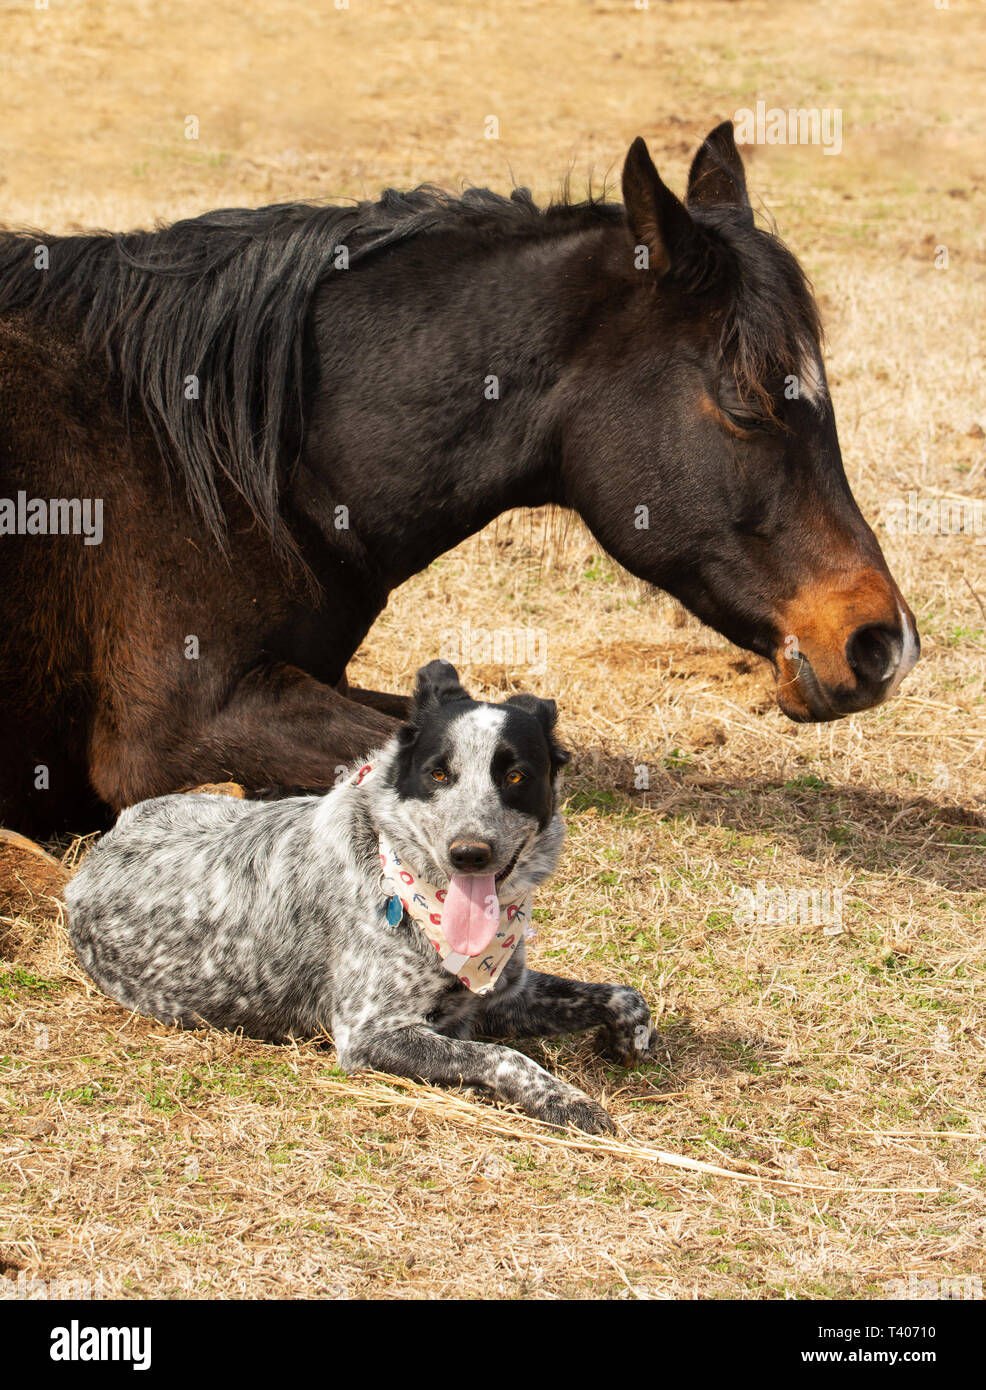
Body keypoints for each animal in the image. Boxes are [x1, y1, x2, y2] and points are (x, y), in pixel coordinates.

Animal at [67, 658, 653, 1128]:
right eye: (438, 774)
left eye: (515, 777)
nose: (469, 853)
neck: (399, 872)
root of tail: (95, 854)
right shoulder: (371, 1034)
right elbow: (502, 1057)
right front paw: (567, 1100)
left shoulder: (503, 996)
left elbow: (626, 995)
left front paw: (626, 1042)